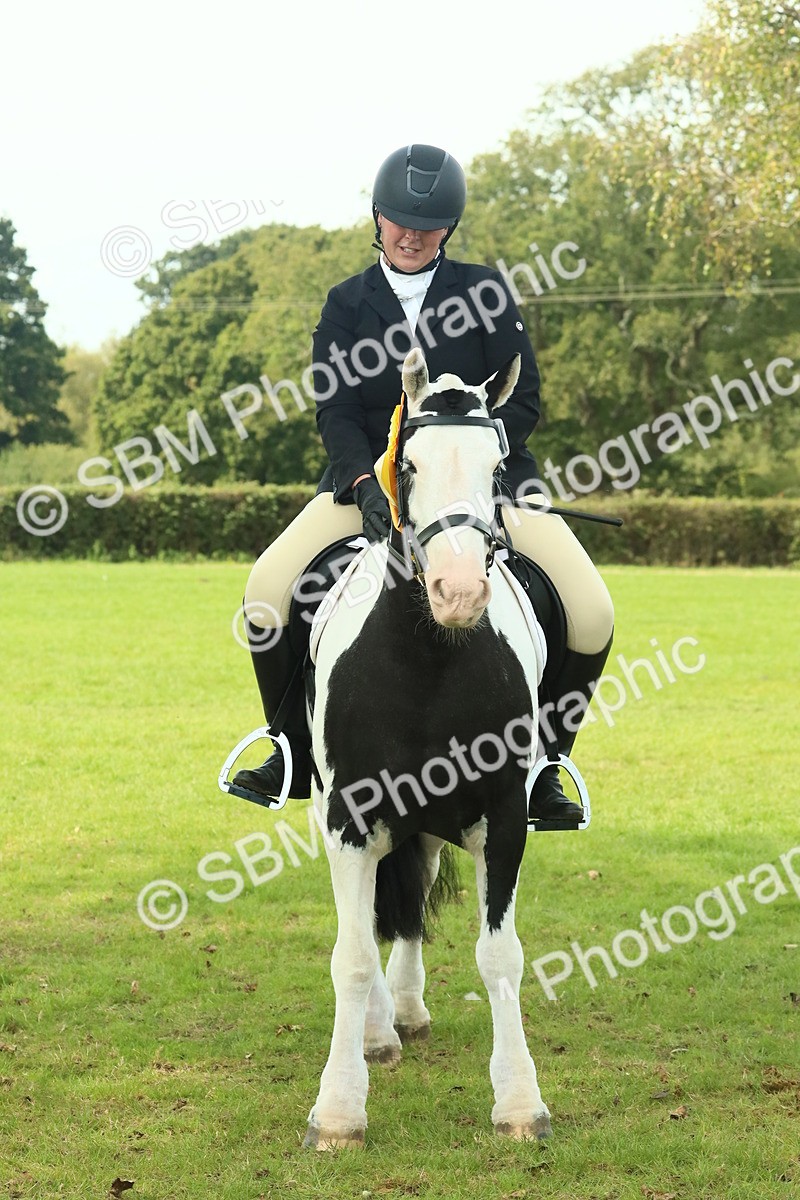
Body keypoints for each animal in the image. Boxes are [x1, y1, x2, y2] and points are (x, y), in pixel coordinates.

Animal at [303, 346, 553, 1150]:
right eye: (407, 465)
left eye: (498, 469)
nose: (458, 591)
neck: (427, 657)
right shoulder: (350, 815)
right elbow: (351, 956)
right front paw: (339, 1111)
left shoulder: (501, 814)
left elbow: (500, 954)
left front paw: (519, 1103)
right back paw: (380, 1030)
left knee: (412, 892)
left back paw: (405, 1011)